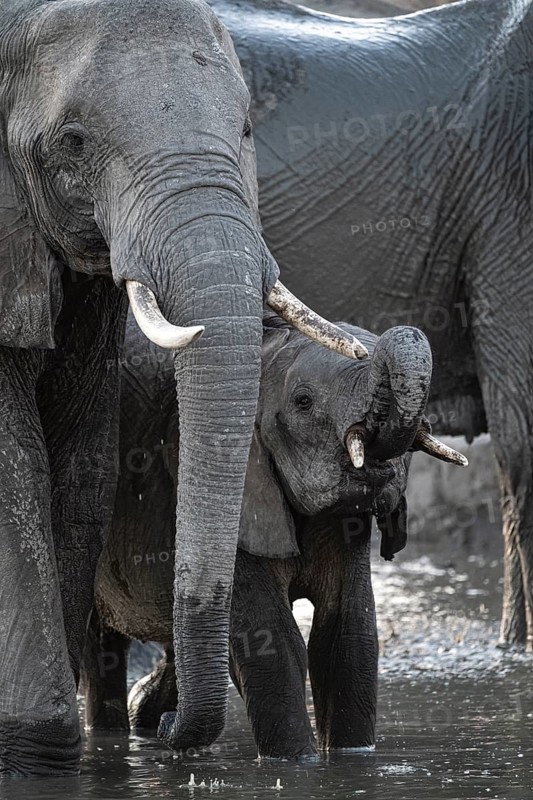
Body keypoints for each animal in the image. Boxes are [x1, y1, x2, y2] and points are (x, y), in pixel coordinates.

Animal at [81, 310, 463, 759]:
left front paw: (352, 759)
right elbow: (272, 639)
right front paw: (296, 763)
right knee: (100, 648)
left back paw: (149, 712)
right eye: (303, 401)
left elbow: (347, 636)